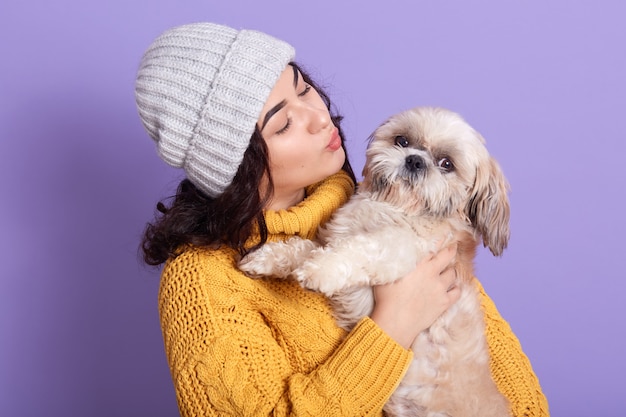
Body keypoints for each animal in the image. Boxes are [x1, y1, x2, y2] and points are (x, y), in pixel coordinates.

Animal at [239, 106, 512, 412]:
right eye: (402, 141)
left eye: (446, 164)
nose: (415, 160)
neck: (394, 208)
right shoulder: (333, 238)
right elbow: (301, 247)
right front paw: (265, 258)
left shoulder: (400, 249)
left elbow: (359, 249)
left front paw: (319, 270)